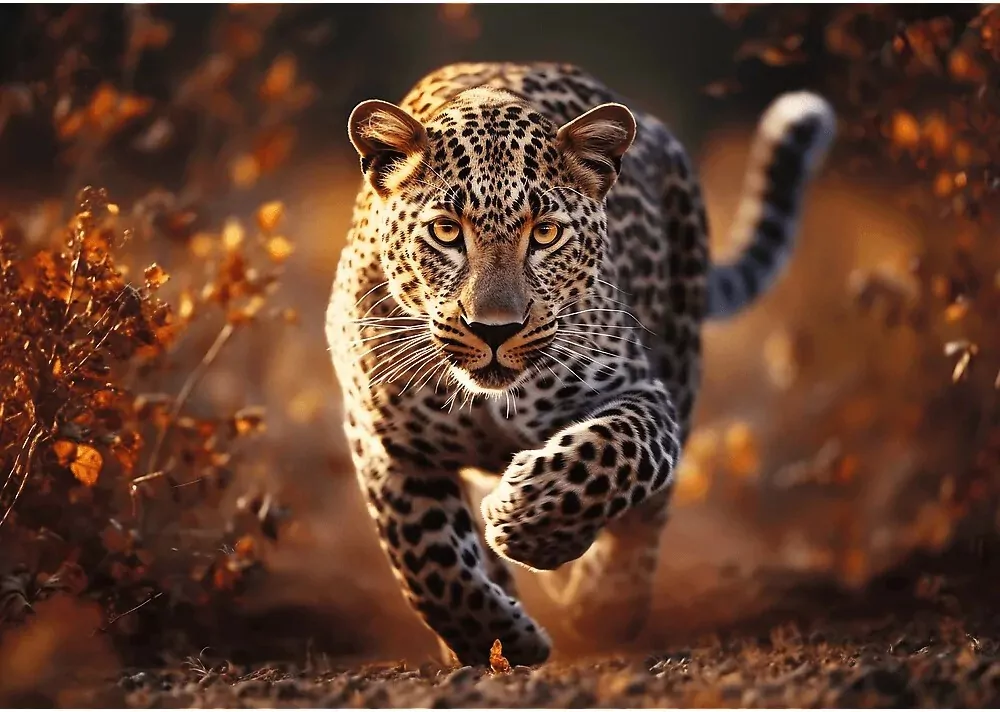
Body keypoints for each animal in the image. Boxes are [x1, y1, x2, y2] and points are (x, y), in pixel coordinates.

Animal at [326, 61, 835, 667]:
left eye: (545, 233)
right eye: (446, 231)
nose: (494, 329)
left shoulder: (642, 392)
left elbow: (613, 453)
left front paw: (527, 521)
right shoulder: (385, 442)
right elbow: (428, 560)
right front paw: (497, 639)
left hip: (682, 355)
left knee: (647, 515)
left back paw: (605, 603)